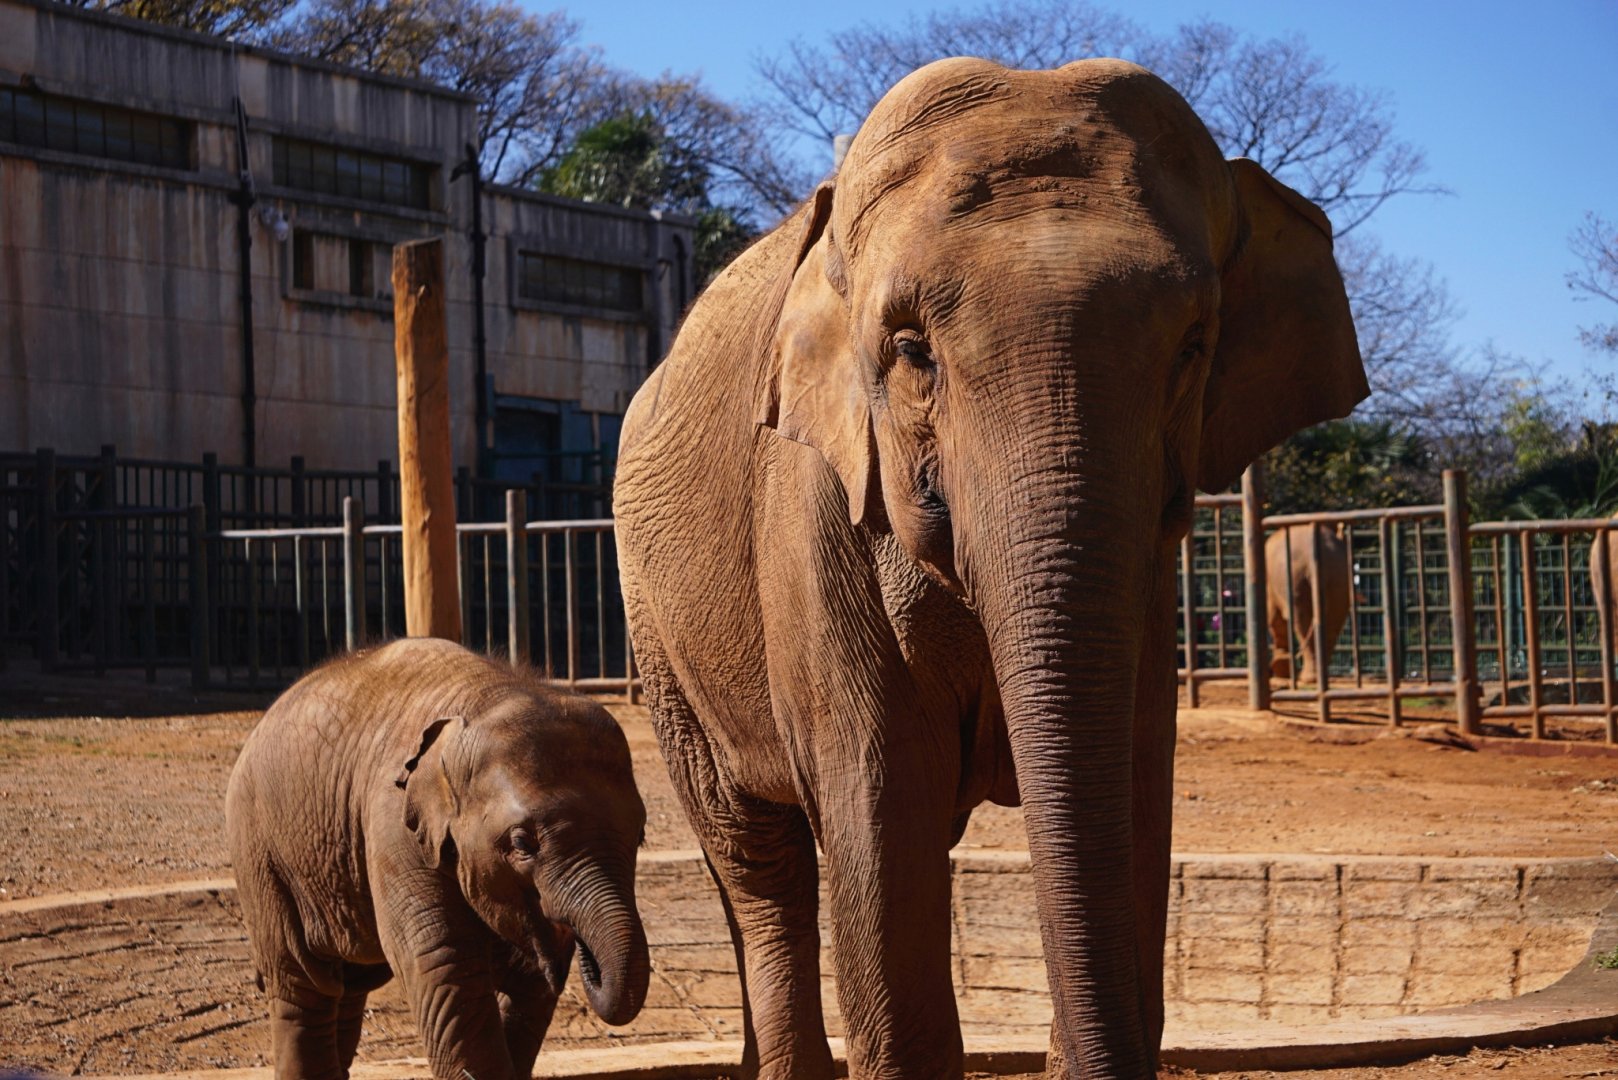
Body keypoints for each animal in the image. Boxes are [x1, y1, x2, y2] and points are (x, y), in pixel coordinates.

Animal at [225, 638, 649, 1080]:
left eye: (640, 834)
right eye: (521, 843)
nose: (580, 948)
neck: (489, 696)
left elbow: (526, 986)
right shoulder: (394, 829)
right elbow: (448, 965)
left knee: (350, 982)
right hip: (259, 852)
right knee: (303, 981)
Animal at [1266, 523, 1352, 684]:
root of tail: (1314, 560)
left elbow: (1275, 620)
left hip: (1295, 579)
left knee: (1300, 621)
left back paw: (1308, 679)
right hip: (1339, 577)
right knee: (1332, 623)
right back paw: (1319, 676)